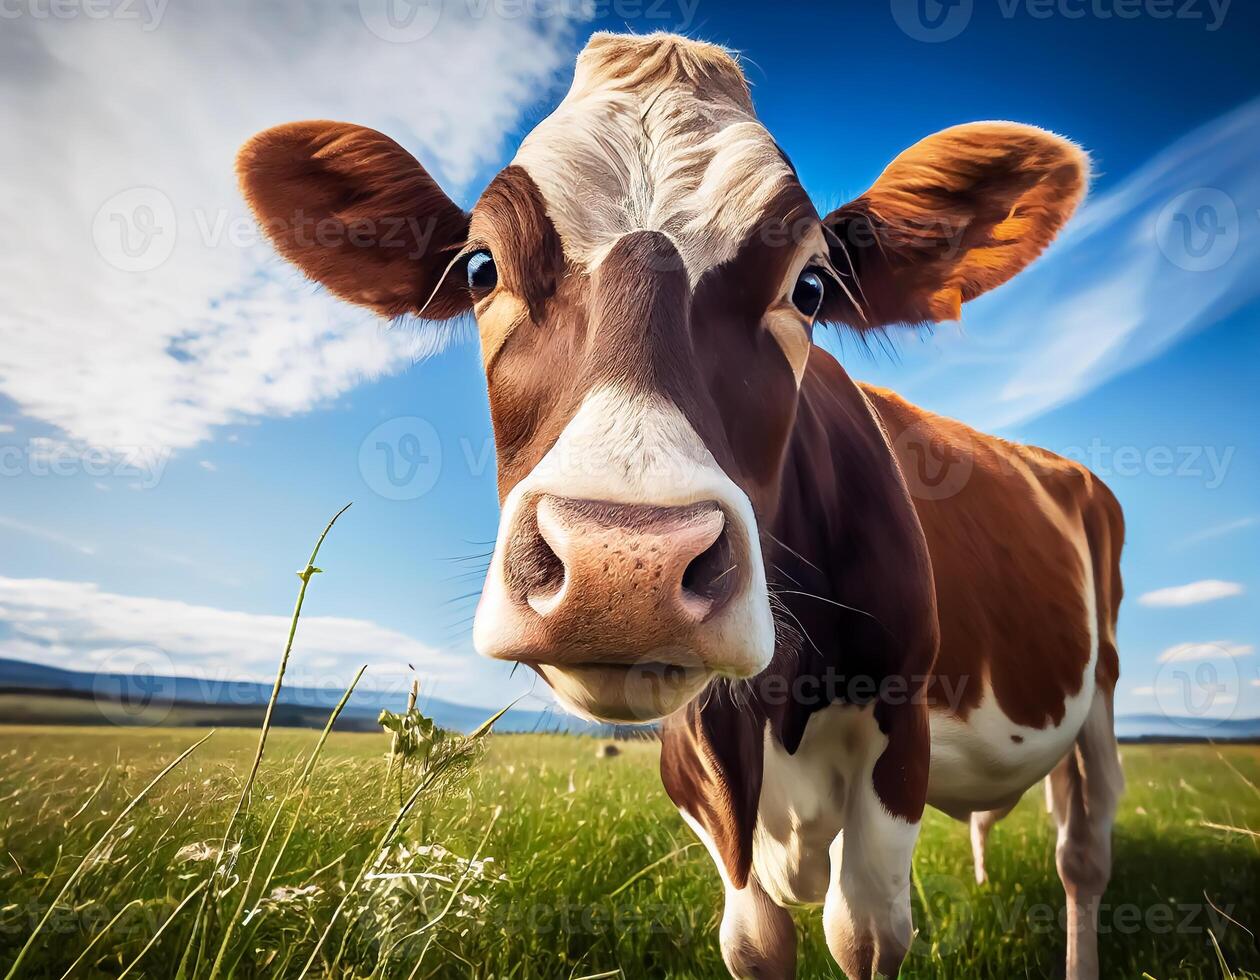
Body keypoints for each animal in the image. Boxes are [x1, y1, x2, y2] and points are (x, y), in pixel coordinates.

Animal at [236, 30, 1123, 977]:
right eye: (480, 268)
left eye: (811, 287)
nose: (623, 565)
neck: (772, 702)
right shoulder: (693, 761)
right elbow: (756, 940)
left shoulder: (901, 717)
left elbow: (864, 933)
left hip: (1099, 691)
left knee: (1082, 851)